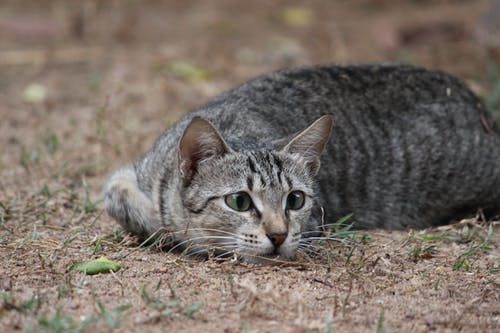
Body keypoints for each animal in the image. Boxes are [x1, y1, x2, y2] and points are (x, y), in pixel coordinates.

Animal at [102, 63, 500, 262]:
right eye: (239, 201)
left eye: (295, 200)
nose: (278, 235)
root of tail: (477, 105)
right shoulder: (128, 174)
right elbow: (128, 201)